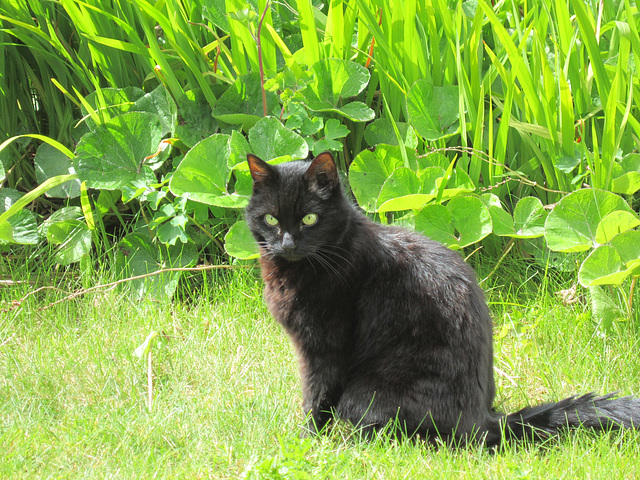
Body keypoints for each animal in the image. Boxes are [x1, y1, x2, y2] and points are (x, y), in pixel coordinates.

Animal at [245, 153, 640, 446]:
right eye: (271, 219)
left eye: (310, 218)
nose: (287, 243)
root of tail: (486, 421)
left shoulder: (325, 348)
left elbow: (316, 397)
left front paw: (306, 442)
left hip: (365, 393)